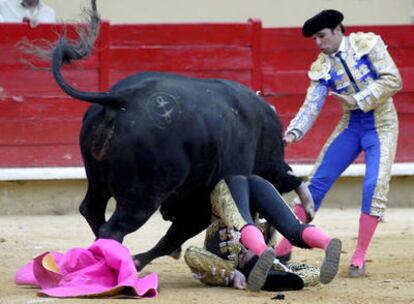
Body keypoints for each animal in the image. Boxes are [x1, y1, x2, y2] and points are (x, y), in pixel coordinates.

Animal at [50, 36, 300, 270]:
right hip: (141, 197)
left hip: (97, 180)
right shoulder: (202, 202)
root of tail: (123, 98)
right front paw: (141, 260)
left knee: (91, 210)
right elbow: (174, 236)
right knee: (113, 229)